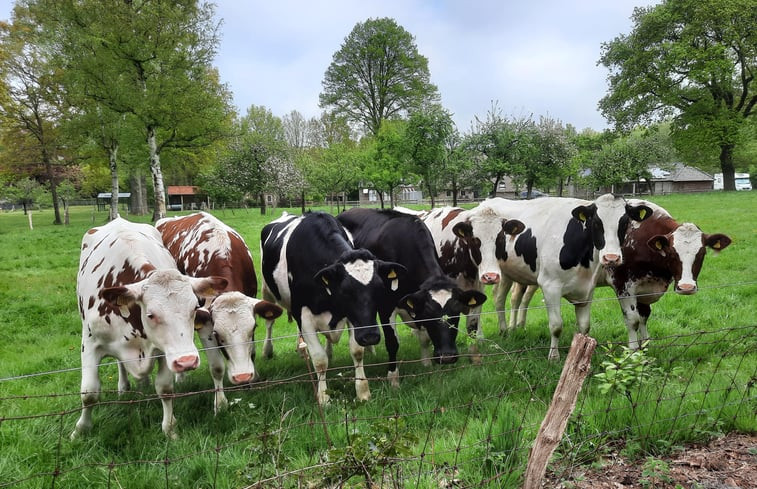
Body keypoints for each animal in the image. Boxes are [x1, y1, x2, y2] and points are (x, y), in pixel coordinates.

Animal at [73, 215, 227, 436]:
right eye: (151, 315)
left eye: (194, 309)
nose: (187, 361)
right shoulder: (90, 343)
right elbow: (89, 393)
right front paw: (81, 429)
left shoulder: (164, 351)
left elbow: (165, 388)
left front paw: (170, 429)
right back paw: (123, 387)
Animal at [157, 212, 284, 414]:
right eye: (217, 335)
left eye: (253, 328)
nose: (242, 376)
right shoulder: (204, 324)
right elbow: (216, 367)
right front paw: (220, 404)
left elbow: (251, 351)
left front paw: (251, 381)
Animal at [258, 211, 404, 404]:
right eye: (346, 291)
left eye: (379, 289)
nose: (370, 336)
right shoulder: (303, 315)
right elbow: (320, 360)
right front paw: (324, 397)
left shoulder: (352, 317)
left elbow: (357, 351)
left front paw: (363, 392)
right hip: (267, 291)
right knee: (269, 322)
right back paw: (268, 350)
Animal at [336, 208, 484, 384]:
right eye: (429, 314)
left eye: (456, 314)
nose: (447, 357)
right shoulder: (386, 307)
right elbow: (392, 342)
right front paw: (393, 378)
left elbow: (425, 338)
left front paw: (426, 364)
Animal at [488, 193, 652, 358]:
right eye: (596, 223)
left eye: (625, 222)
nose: (611, 258)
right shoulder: (550, 286)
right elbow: (556, 326)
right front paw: (554, 356)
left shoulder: (587, 289)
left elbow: (585, 326)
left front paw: (582, 352)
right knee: (499, 299)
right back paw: (498, 333)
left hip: (508, 273)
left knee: (502, 297)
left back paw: (508, 330)